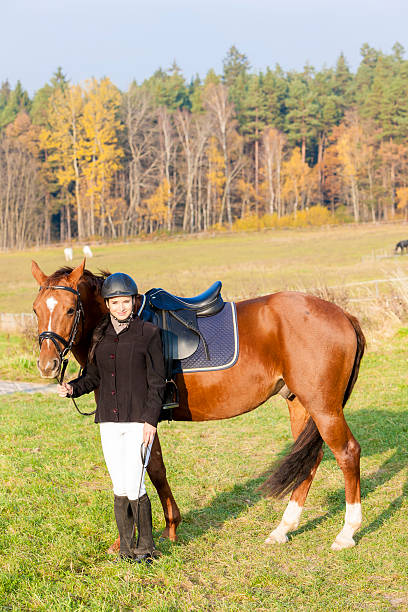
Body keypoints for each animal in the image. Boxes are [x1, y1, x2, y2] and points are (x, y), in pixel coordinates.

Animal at [30, 260, 364, 552]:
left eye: (70, 309)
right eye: (35, 309)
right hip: (300, 405)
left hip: (323, 407)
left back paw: (346, 533)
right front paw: (171, 527)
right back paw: (283, 529)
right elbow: (156, 468)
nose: (47, 365)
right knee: (311, 458)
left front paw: (140, 536)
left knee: (347, 453)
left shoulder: (136, 419)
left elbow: (144, 471)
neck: (121, 331)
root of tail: (344, 315)